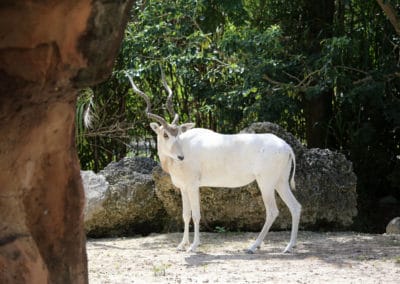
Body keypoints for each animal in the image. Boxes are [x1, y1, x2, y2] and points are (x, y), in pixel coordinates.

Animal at [126, 70, 302, 253]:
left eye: (178, 133)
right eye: (165, 134)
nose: (181, 157)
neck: (184, 147)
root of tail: (286, 146)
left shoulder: (193, 186)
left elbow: (196, 215)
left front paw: (193, 246)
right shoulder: (183, 188)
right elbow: (185, 215)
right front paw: (182, 244)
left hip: (266, 183)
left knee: (272, 211)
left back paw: (254, 246)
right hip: (280, 182)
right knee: (296, 207)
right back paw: (289, 246)